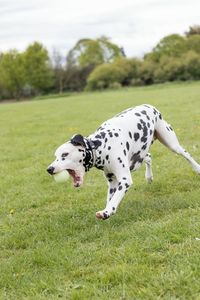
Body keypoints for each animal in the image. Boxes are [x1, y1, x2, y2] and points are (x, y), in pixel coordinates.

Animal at [47, 104, 200, 219]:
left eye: (65, 154)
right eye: (55, 156)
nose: (49, 169)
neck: (101, 145)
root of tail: (149, 106)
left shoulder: (125, 179)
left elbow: (115, 198)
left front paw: (106, 212)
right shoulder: (112, 182)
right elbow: (111, 198)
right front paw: (109, 211)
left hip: (171, 143)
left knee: (186, 154)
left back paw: (197, 168)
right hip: (137, 157)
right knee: (149, 157)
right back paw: (149, 177)